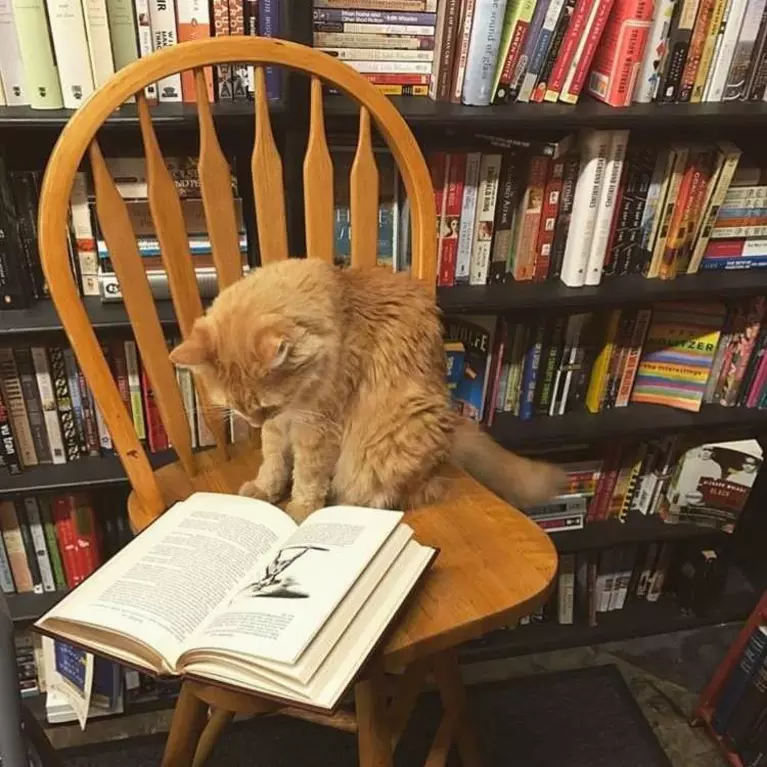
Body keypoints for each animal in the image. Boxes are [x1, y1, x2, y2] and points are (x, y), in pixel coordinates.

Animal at [170, 260, 564, 520]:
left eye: (264, 406)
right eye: (238, 408)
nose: (253, 422)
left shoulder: (317, 428)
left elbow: (308, 476)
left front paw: (300, 512)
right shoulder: (280, 427)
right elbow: (273, 462)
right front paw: (265, 490)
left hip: (400, 433)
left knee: (394, 493)